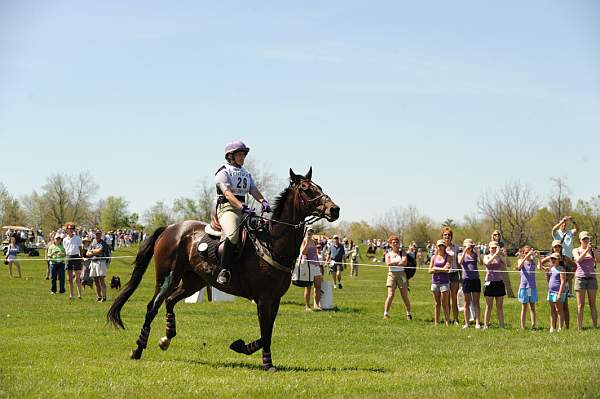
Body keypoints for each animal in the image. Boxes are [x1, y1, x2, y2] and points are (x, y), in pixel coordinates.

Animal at [108, 169, 340, 372]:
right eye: (306, 189)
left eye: (319, 187)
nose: (334, 210)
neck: (272, 243)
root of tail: (170, 228)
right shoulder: (264, 299)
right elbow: (265, 333)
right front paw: (265, 362)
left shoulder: (274, 300)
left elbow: (267, 333)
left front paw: (243, 348)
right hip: (168, 277)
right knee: (152, 307)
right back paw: (138, 349)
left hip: (194, 281)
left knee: (171, 301)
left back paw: (166, 338)